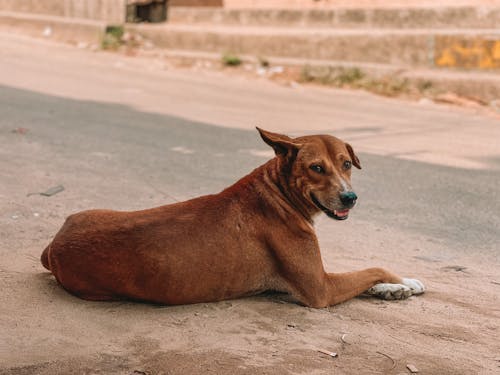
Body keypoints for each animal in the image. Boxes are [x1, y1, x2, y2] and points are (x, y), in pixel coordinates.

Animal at [43, 128, 424, 306]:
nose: (350, 197)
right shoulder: (321, 289)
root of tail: (55, 245)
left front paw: (393, 289)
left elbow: (367, 275)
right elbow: (372, 267)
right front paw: (404, 281)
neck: (276, 191)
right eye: (317, 168)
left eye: (346, 164)